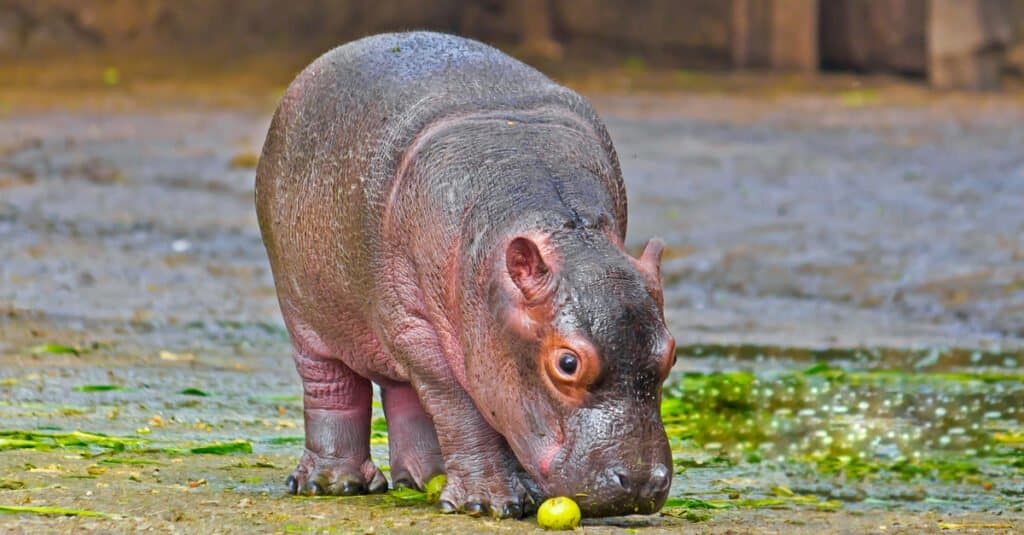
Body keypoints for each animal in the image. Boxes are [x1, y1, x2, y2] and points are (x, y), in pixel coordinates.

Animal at [252, 31, 675, 514]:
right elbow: (462, 409)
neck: (565, 230)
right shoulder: (420, 329)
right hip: (311, 314)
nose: (639, 483)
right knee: (332, 388)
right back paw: (332, 484)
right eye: (568, 363)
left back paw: (423, 479)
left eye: (672, 353)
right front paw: (487, 504)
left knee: (406, 395)